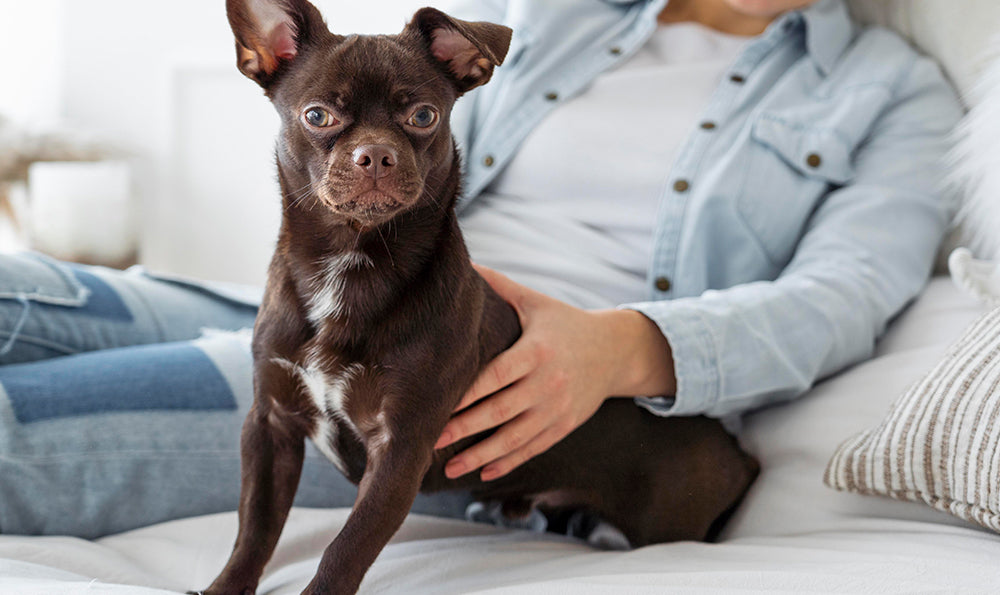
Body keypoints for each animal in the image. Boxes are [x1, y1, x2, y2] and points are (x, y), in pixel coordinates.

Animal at [197, 2, 756, 592]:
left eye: (423, 116)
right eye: (317, 116)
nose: (375, 154)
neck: (350, 262)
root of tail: (738, 452)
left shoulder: (400, 450)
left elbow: (347, 547)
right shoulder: (270, 426)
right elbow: (255, 527)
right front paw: (224, 587)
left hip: (665, 520)